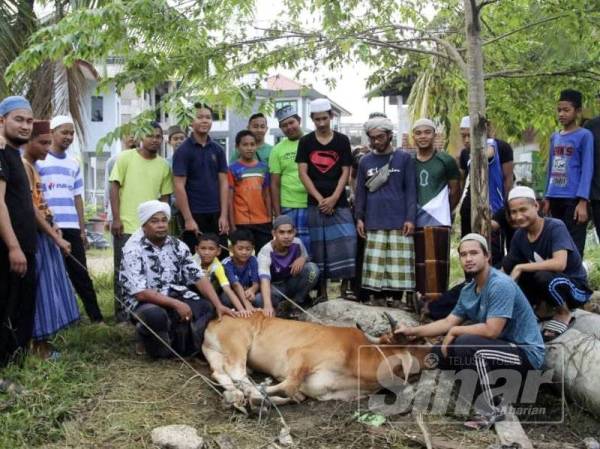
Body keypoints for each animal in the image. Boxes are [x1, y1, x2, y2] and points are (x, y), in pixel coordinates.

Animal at [204, 312, 428, 410]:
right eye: (418, 344)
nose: (432, 352)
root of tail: (217, 319)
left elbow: (296, 393)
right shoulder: (299, 355)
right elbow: (289, 386)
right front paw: (257, 395)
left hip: (215, 354)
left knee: (220, 372)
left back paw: (236, 396)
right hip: (239, 344)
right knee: (236, 371)